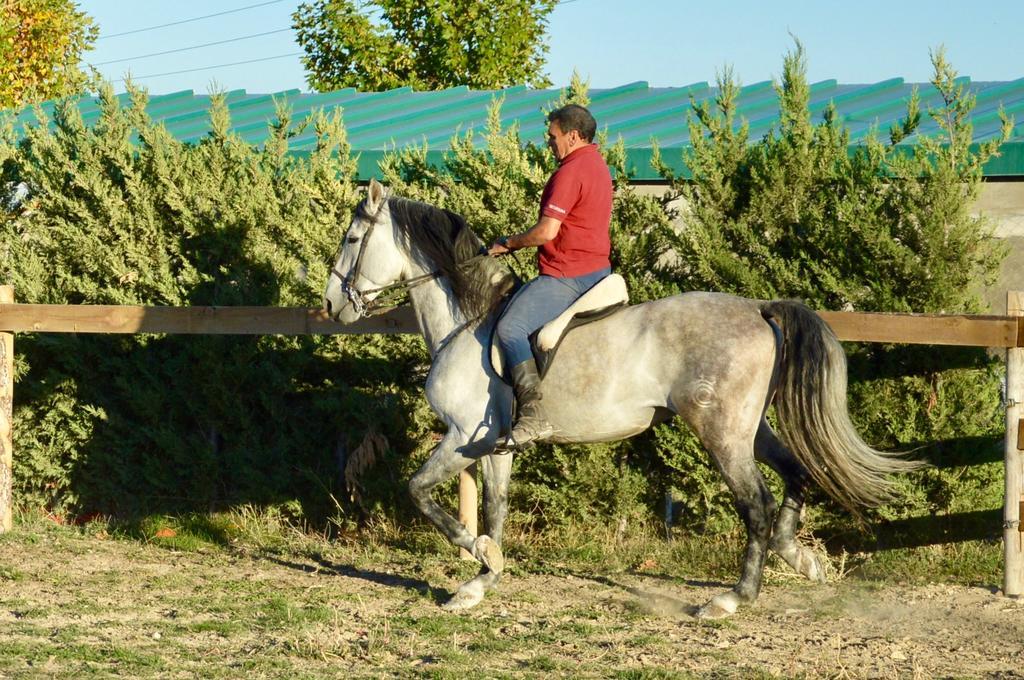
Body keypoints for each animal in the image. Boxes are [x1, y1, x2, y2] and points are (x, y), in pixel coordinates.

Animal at [323, 180, 917, 622]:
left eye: (352, 238)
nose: (332, 306)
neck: (467, 321)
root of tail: (759, 308)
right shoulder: (495, 446)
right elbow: (495, 508)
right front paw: (482, 578)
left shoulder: (464, 437)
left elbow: (419, 491)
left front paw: (478, 556)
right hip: (753, 429)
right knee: (795, 475)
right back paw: (799, 557)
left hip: (722, 433)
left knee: (756, 503)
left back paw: (731, 598)